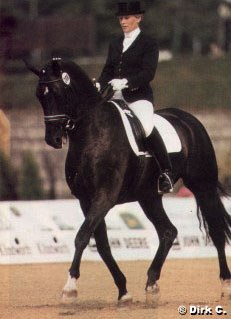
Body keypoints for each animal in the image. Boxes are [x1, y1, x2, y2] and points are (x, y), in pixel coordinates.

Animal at [28, 58, 231, 306]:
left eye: (58, 93)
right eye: (40, 96)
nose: (53, 139)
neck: (92, 133)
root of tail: (189, 119)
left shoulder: (104, 196)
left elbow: (82, 237)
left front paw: (70, 288)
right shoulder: (86, 200)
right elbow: (102, 245)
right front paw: (123, 290)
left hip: (203, 186)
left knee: (216, 231)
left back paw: (225, 285)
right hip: (149, 196)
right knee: (168, 232)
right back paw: (152, 283)